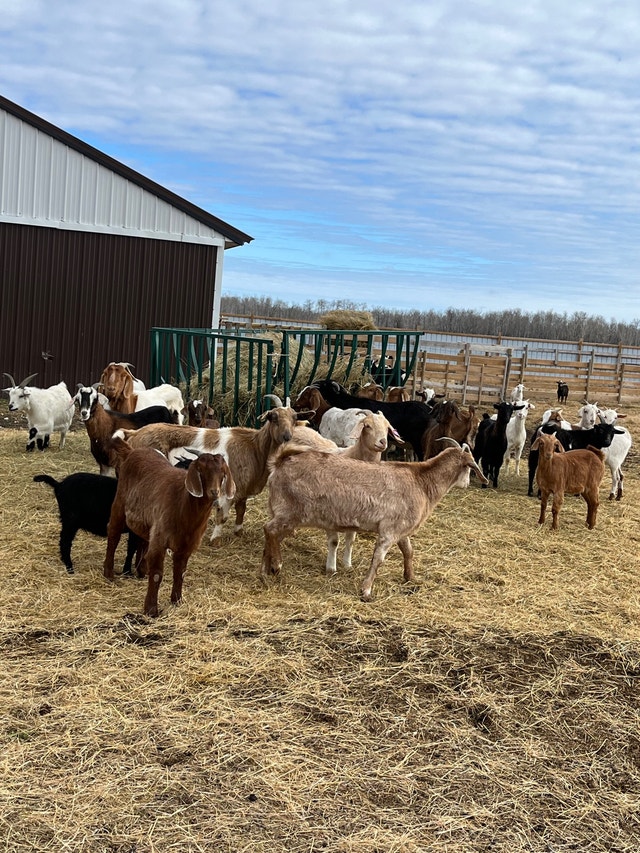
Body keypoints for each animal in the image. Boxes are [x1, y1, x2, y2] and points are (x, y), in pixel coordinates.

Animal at [104, 440, 235, 617]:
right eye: (201, 470)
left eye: (222, 473)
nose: (215, 492)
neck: (184, 504)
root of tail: (132, 451)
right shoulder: (160, 540)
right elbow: (157, 575)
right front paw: (151, 609)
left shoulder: (186, 545)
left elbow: (180, 573)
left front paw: (177, 601)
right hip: (120, 502)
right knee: (113, 533)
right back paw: (109, 573)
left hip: (146, 520)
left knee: (142, 540)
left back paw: (141, 571)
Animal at [261, 440, 488, 601]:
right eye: (470, 467)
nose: (467, 483)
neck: (421, 482)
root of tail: (280, 462)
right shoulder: (390, 530)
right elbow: (378, 559)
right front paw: (366, 591)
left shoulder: (401, 530)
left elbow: (408, 551)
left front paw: (410, 577)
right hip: (291, 512)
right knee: (269, 529)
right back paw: (276, 566)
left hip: (280, 511)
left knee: (270, 536)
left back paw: (265, 569)